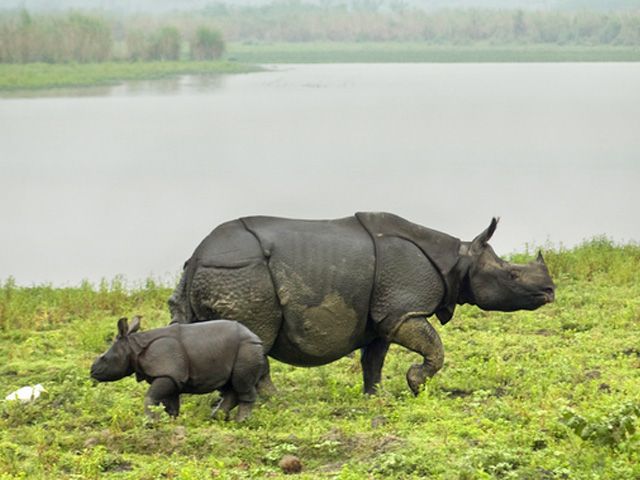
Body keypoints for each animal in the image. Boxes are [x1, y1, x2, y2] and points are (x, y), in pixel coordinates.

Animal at [90, 317, 267, 421]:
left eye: (104, 358)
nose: (92, 372)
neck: (133, 347)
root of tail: (256, 337)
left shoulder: (167, 373)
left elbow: (150, 397)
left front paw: (150, 423)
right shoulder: (172, 376)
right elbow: (171, 403)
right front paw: (171, 421)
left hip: (246, 348)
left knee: (241, 384)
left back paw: (240, 422)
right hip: (237, 350)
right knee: (229, 385)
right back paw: (215, 418)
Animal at [169, 212, 555, 395]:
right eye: (512, 276)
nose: (550, 291)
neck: (459, 259)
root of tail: (198, 256)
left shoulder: (383, 316)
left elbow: (374, 359)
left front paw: (376, 396)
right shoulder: (403, 311)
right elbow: (435, 347)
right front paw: (416, 383)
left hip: (216, 275)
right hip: (242, 274)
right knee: (255, 341)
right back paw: (272, 401)